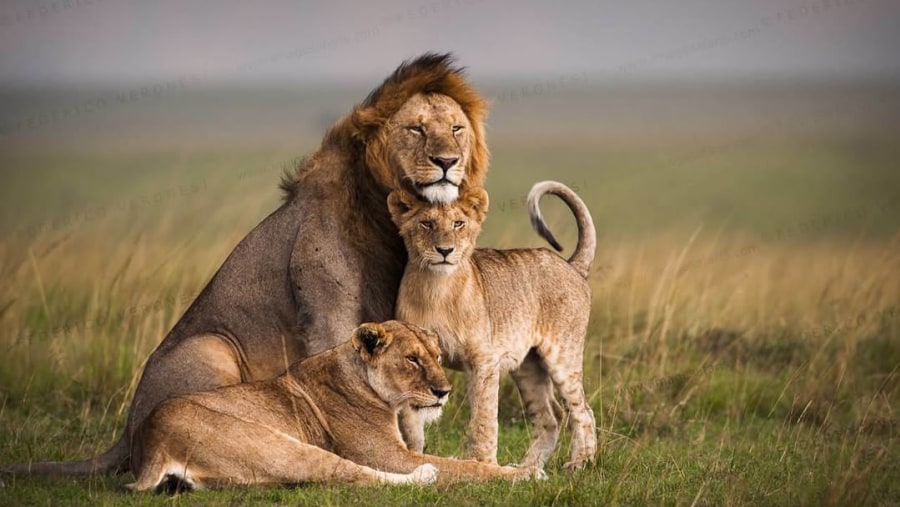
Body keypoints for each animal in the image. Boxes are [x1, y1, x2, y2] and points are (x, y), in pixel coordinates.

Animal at [3, 54, 488, 476]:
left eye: (456, 129)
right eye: (415, 129)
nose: (447, 162)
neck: (383, 214)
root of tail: (125, 433)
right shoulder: (329, 314)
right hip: (210, 347)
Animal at [125, 322, 536, 492]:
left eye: (436, 356)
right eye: (412, 360)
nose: (444, 391)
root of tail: (151, 442)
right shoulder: (388, 455)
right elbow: (465, 467)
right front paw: (521, 472)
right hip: (275, 444)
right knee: (351, 474)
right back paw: (426, 476)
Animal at [390, 181, 600, 470]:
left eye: (458, 224)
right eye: (426, 224)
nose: (445, 251)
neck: (436, 289)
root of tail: (572, 266)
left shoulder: (483, 360)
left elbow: (483, 419)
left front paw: (483, 464)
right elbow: (411, 424)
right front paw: (413, 459)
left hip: (562, 356)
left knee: (582, 411)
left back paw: (579, 463)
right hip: (527, 366)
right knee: (550, 417)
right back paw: (527, 468)